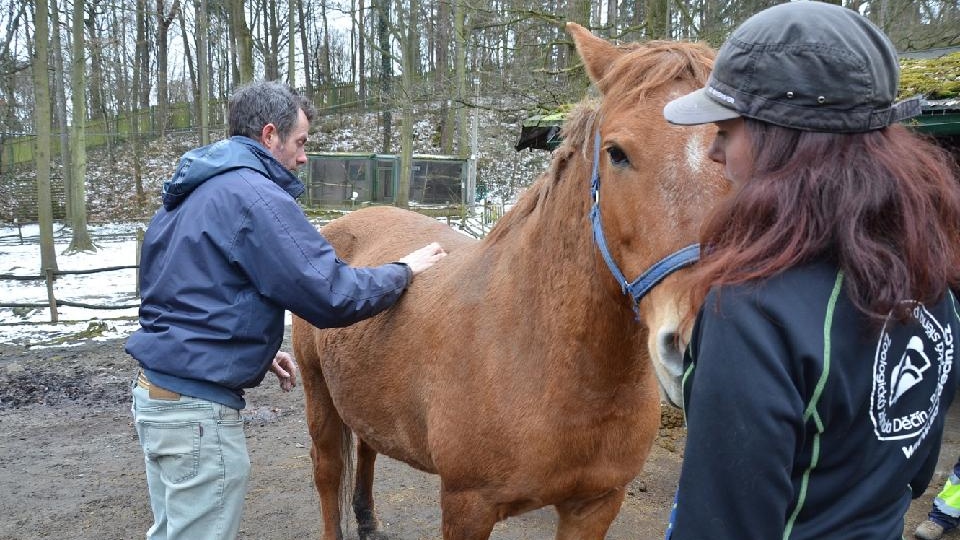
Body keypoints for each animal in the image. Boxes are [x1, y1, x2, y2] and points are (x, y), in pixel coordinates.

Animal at [292, 24, 728, 540]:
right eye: (616, 153)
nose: (697, 341)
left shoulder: (595, 505)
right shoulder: (467, 506)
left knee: (368, 447)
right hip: (318, 392)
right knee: (327, 472)